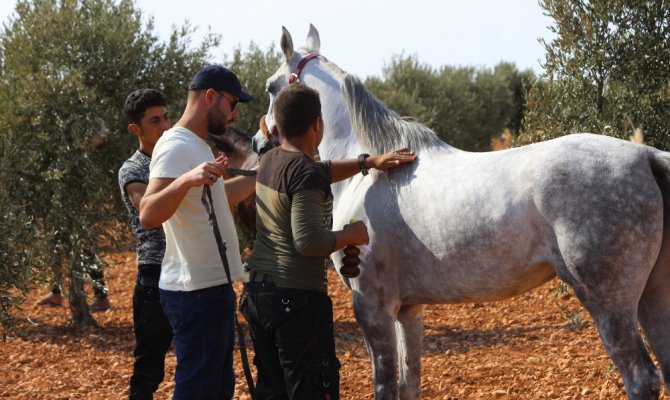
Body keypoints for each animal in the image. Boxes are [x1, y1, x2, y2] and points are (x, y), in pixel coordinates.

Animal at [255, 25, 670, 400]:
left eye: (271, 87)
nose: (259, 141)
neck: (373, 177)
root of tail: (645, 156)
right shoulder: (409, 310)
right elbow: (410, 384)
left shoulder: (372, 306)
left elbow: (385, 386)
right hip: (653, 294)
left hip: (609, 302)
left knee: (641, 378)